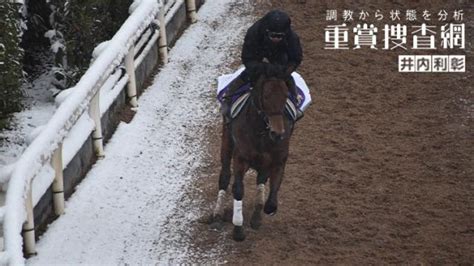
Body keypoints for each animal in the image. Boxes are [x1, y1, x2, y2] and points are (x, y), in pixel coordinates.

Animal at [210, 74, 292, 241]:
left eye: (286, 95)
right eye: (266, 96)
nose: (278, 133)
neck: (260, 132)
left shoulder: (277, 162)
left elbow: (271, 201)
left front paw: (257, 217)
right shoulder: (241, 159)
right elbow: (238, 189)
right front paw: (238, 229)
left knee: (261, 180)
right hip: (226, 142)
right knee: (225, 177)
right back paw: (217, 215)